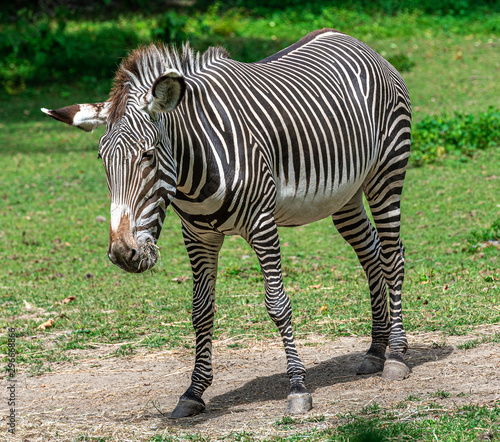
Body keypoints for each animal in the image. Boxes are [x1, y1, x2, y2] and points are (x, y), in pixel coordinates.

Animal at [42, 28, 410, 418]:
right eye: (102, 159)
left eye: (148, 155)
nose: (124, 253)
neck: (195, 165)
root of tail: (353, 40)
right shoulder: (198, 235)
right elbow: (201, 311)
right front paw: (193, 392)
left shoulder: (263, 224)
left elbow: (277, 304)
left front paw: (298, 387)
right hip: (344, 196)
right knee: (371, 254)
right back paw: (375, 350)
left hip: (386, 172)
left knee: (392, 255)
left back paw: (396, 355)